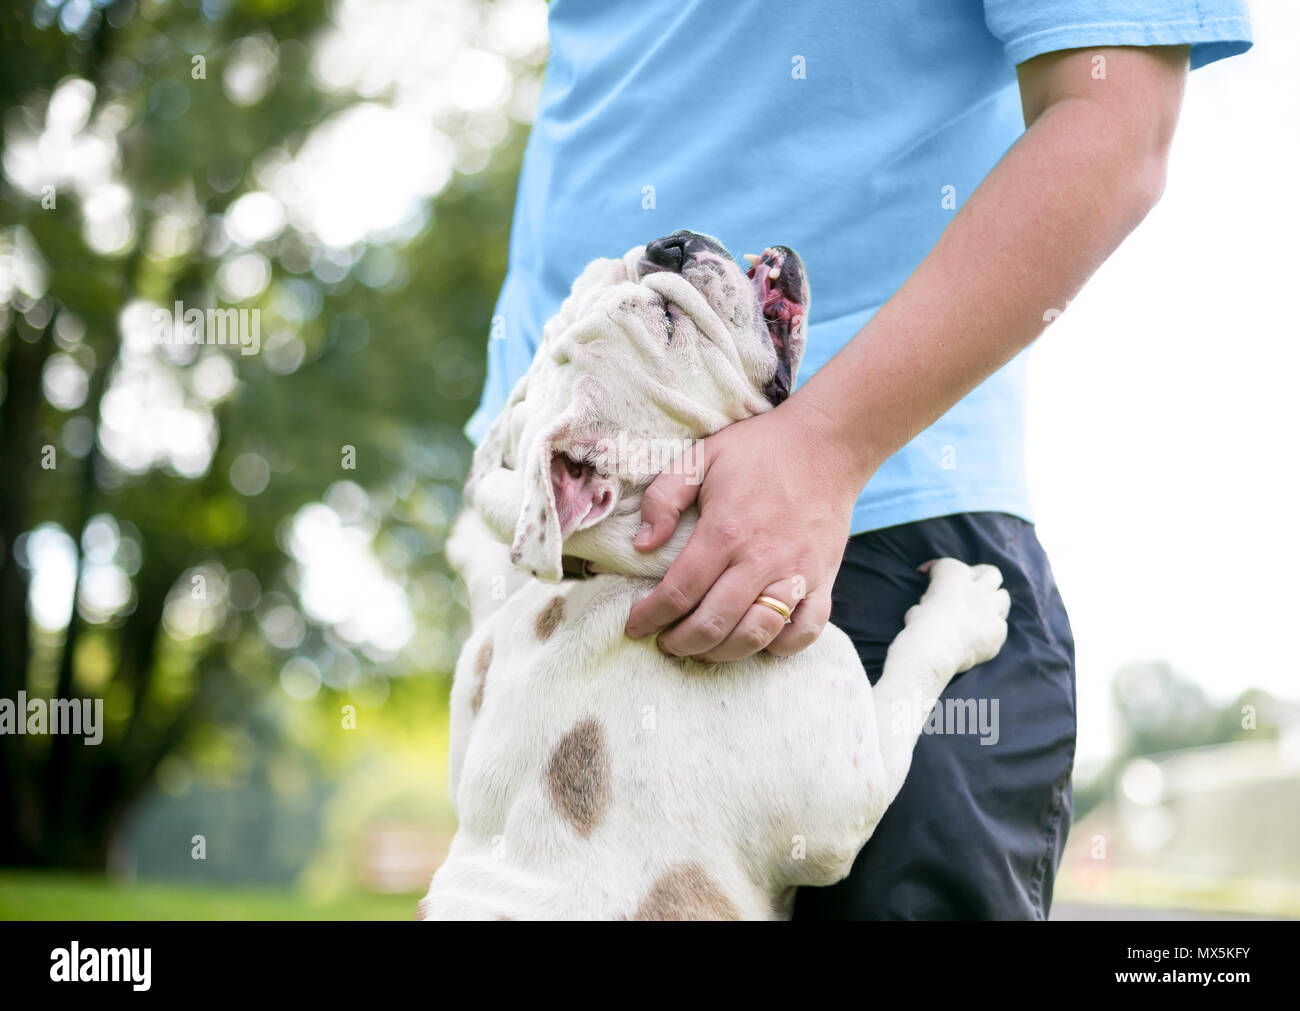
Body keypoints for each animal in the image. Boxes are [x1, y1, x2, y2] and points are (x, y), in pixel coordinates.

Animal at [421, 232, 1008, 920]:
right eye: (669, 322)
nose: (669, 244)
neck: (615, 568)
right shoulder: (848, 800)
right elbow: (913, 674)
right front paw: (964, 610)